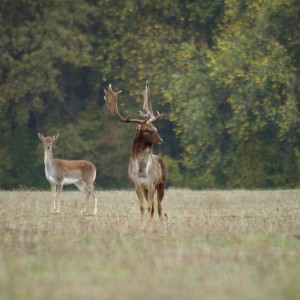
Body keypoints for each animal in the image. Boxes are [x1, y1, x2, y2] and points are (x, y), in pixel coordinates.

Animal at [104, 81, 168, 220]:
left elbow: (149, 207)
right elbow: (143, 207)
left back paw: (161, 221)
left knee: (159, 206)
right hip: (147, 188)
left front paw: (148, 223)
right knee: (154, 206)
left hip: (161, 183)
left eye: (155, 128)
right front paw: (143, 222)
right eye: (146, 130)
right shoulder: (137, 185)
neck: (142, 172)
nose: (160, 139)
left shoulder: (151, 183)